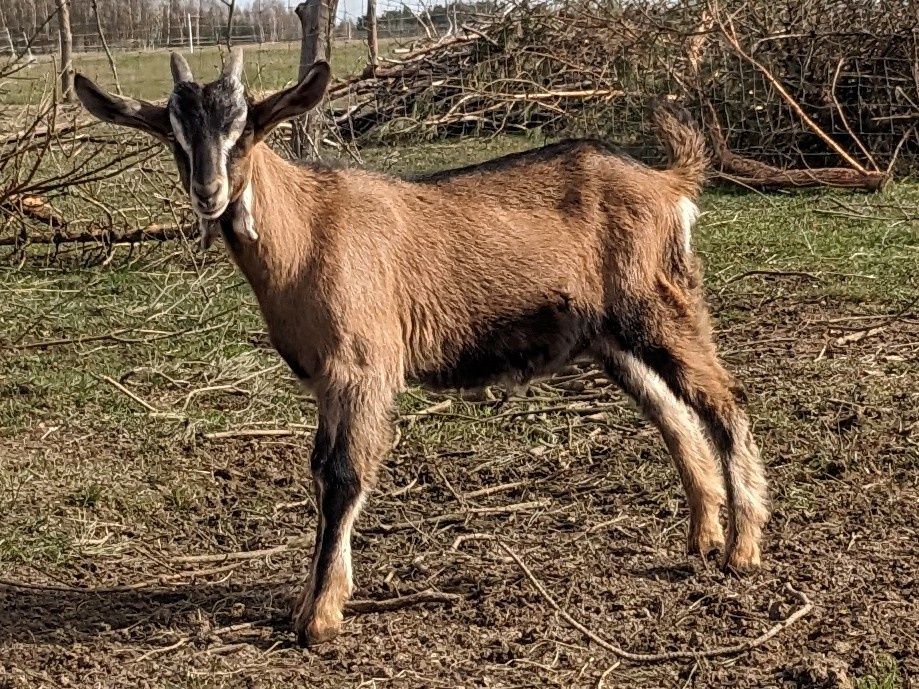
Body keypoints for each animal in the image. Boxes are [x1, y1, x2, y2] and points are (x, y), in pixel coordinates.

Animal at [75, 49, 772, 644]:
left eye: (246, 130)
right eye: (173, 134)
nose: (209, 193)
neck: (306, 233)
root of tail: (667, 182)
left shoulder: (363, 367)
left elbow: (344, 475)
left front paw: (319, 618)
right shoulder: (327, 380)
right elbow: (321, 470)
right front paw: (312, 599)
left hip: (662, 305)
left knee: (725, 400)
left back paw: (742, 549)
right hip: (612, 337)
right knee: (674, 414)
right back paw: (703, 535)